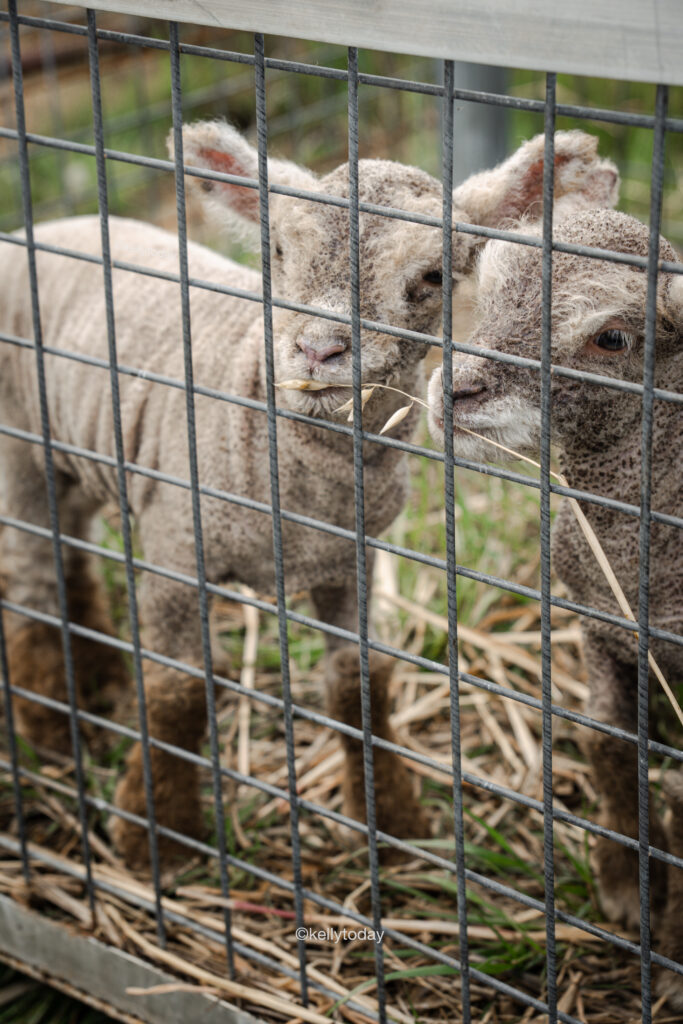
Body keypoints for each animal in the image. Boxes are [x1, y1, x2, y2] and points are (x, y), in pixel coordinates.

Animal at [0, 123, 618, 868]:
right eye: (276, 251)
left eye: (434, 276)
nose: (319, 351)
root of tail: (38, 229)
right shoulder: (179, 549)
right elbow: (177, 695)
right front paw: (157, 838)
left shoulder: (349, 560)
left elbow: (361, 686)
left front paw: (393, 822)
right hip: (18, 444)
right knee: (31, 581)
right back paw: (51, 734)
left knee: (70, 549)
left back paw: (96, 687)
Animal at [430, 203, 679, 1003]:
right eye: (485, 293)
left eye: (612, 337)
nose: (454, 391)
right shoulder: (598, 622)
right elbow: (606, 742)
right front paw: (626, 886)